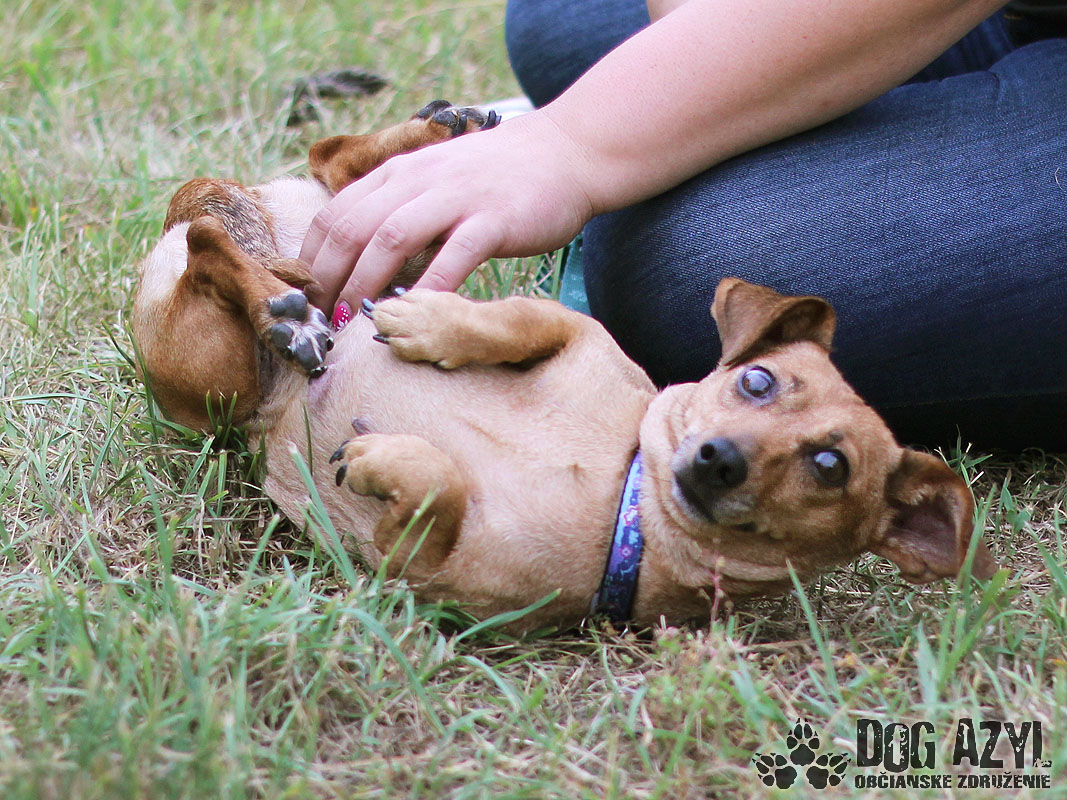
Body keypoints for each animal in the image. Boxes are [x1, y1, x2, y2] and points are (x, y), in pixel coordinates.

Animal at [133, 103, 997, 632]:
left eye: (828, 467)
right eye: (755, 381)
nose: (718, 459)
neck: (626, 500)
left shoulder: (418, 571)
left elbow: (439, 489)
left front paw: (386, 454)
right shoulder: (575, 332)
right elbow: (517, 318)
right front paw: (429, 321)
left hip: (213, 372)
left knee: (227, 242)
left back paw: (287, 304)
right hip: (256, 329)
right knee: (313, 174)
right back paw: (426, 140)